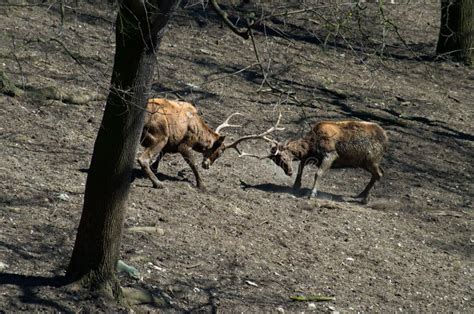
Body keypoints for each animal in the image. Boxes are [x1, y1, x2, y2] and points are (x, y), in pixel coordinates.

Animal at [239, 119, 386, 205]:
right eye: (276, 162)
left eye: (283, 158)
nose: (288, 172)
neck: (311, 145)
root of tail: (386, 138)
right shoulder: (310, 157)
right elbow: (301, 167)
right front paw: (296, 185)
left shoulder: (331, 154)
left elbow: (318, 173)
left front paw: (312, 194)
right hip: (364, 163)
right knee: (379, 173)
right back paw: (361, 195)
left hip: (372, 160)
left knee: (379, 174)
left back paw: (365, 199)